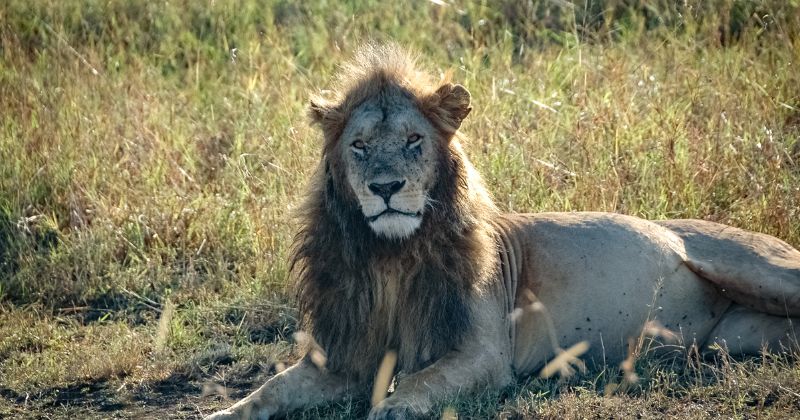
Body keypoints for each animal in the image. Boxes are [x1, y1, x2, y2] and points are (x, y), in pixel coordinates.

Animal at [206, 44, 800, 420]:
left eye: (414, 140)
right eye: (359, 145)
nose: (386, 187)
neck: (392, 257)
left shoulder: (484, 354)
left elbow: (419, 381)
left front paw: (393, 408)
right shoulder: (347, 353)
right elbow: (269, 390)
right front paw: (224, 413)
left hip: (760, 270)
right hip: (738, 336)